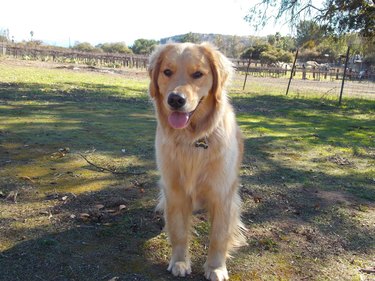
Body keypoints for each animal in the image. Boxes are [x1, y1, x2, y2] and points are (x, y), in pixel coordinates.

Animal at [148, 42, 248, 280]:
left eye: (198, 74)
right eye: (167, 72)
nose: (175, 99)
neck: (192, 140)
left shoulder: (223, 195)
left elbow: (219, 237)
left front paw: (216, 267)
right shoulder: (175, 192)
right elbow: (178, 232)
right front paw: (180, 262)